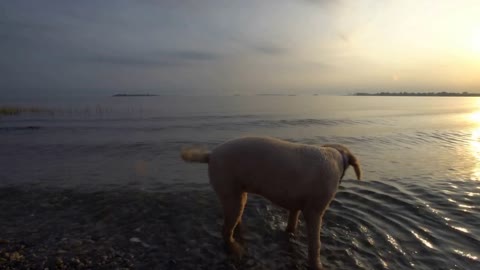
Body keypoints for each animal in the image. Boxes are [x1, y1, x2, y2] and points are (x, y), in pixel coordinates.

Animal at [180, 137, 360, 270]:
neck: (336, 156)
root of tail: (210, 155)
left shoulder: (295, 207)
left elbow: (292, 224)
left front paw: (290, 233)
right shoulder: (315, 212)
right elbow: (315, 244)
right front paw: (317, 266)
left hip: (239, 196)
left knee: (235, 222)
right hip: (230, 195)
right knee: (225, 231)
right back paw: (237, 250)